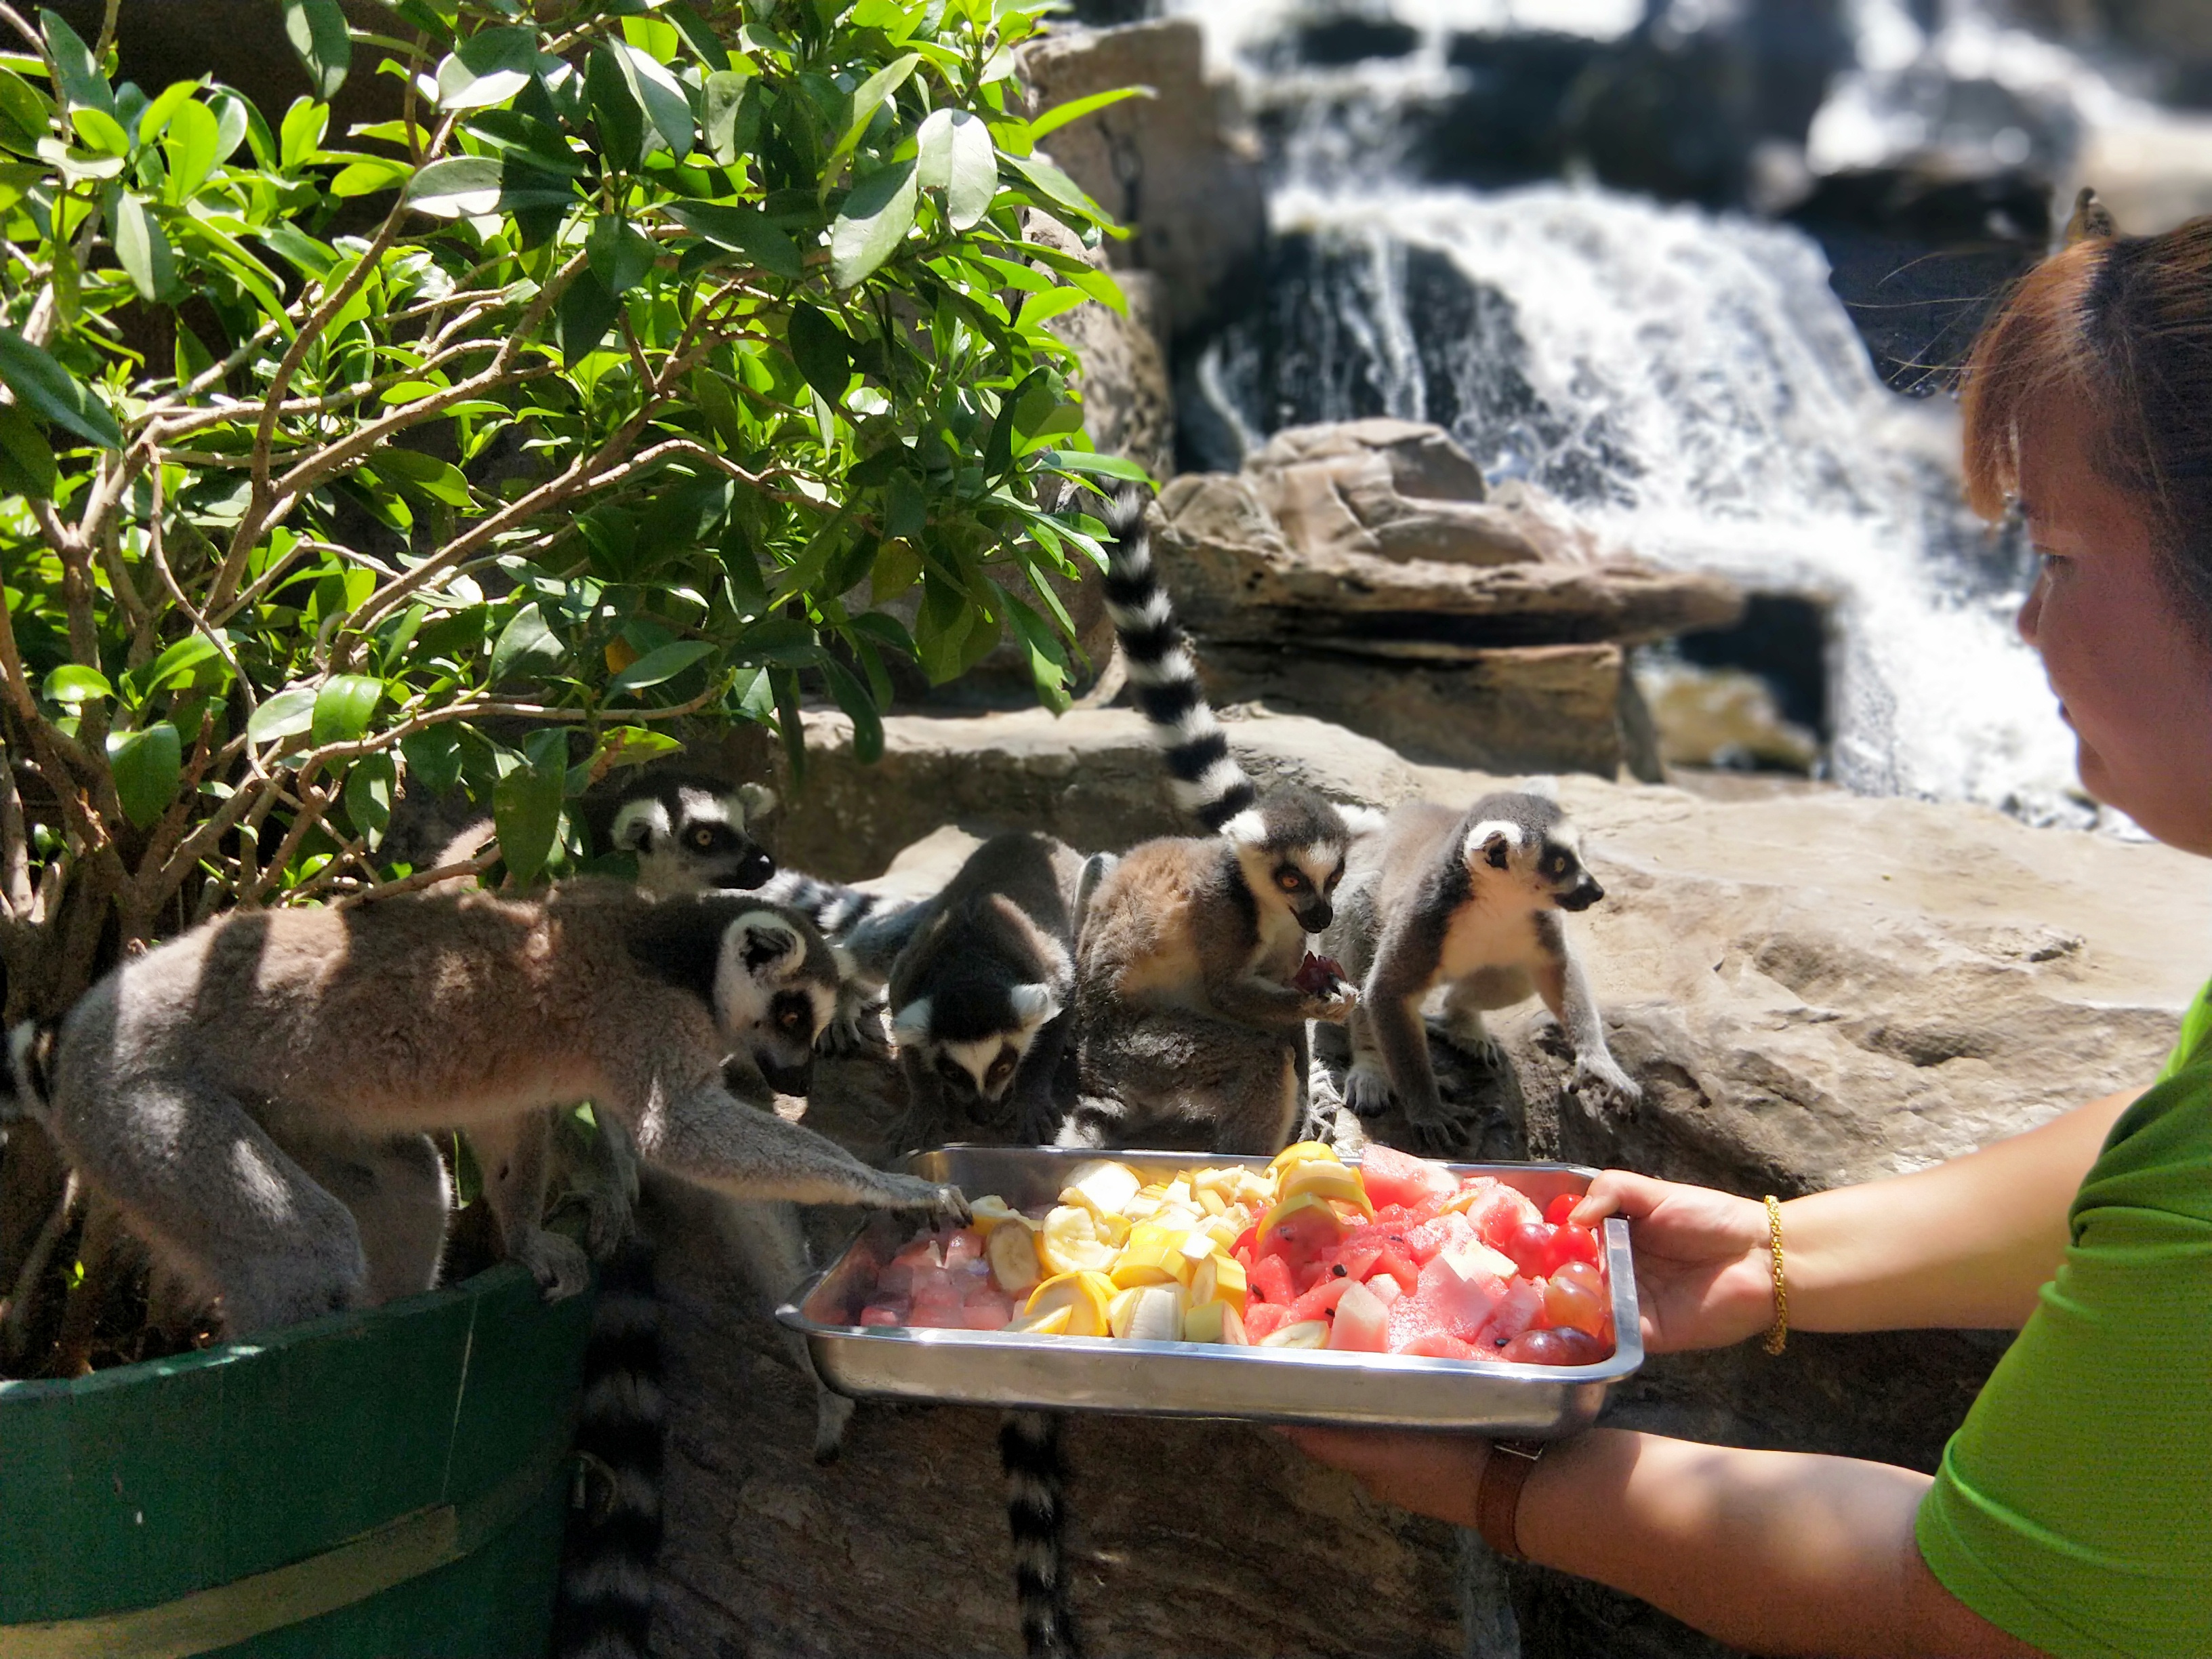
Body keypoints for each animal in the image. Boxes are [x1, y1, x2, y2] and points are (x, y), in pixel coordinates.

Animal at [7, 882, 967, 1339]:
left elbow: (514, 1134)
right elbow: (680, 1132)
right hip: (141, 1100)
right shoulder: (642, 1022)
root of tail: (82, 1023)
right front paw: (887, 1188)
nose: (800, 1065)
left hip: (264, 1115)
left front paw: (530, 1241)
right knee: (303, 1246)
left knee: (403, 1186)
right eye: (796, 1013)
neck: (674, 957)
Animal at [1321, 788, 1640, 1153]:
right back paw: (1371, 1068)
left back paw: (1460, 1024)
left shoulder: (1539, 919)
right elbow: (1388, 992)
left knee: (1515, 978)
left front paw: (1598, 1061)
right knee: (1360, 918)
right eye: (1560, 864)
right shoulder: (1424, 917)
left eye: (1579, 854)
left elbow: (1557, 966)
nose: (1597, 892)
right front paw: (1429, 1112)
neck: (1499, 904)